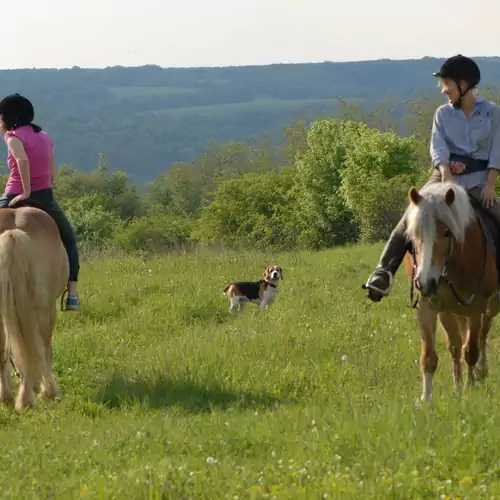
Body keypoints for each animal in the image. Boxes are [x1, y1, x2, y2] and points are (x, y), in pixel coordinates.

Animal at [402, 180, 500, 402]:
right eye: (415, 234)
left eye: (447, 232)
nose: (424, 282)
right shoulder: (430, 307)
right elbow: (432, 356)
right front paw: (428, 399)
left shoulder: (476, 307)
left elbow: (470, 350)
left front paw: (471, 387)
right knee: (459, 343)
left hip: (490, 306)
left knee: (482, 335)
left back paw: (481, 372)